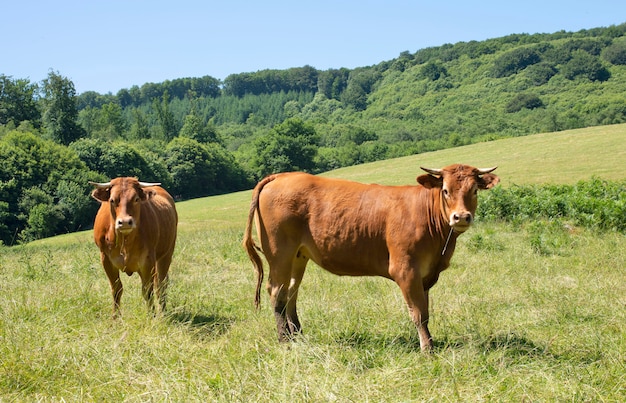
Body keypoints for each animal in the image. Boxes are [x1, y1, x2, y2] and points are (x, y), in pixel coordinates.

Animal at [88, 178, 177, 318]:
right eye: (112, 200)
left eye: (136, 199)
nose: (124, 222)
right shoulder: (106, 259)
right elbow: (116, 289)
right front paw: (116, 317)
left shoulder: (147, 260)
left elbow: (147, 290)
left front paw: (151, 316)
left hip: (166, 254)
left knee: (161, 284)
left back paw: (163, 312)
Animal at [243, 164, 498, 350]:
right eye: (445, 190)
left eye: (474, 190)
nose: (461, 217)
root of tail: (281, 176)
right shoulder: (406, 270)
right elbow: (418, 313)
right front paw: (427, 348)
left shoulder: (426, 275)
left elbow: (426, 312)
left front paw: (431, 342)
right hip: (280, 254)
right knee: (277, 293)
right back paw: (284, 340)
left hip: (298, 256)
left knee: (291, 292)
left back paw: (298, 335)